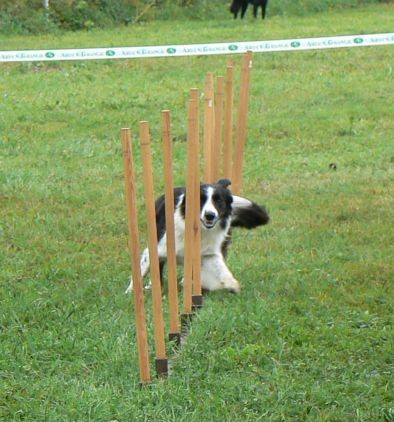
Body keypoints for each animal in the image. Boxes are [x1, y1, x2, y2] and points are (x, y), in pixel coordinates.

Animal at [124, 180, 270, 296]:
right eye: (200, 200)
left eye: (219, 200)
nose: (210, 215)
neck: (200, 230)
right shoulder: (158, 249)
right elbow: (142, 271)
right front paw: (132, 292)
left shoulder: (209, 254)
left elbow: (222, 269)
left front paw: (233, 285)